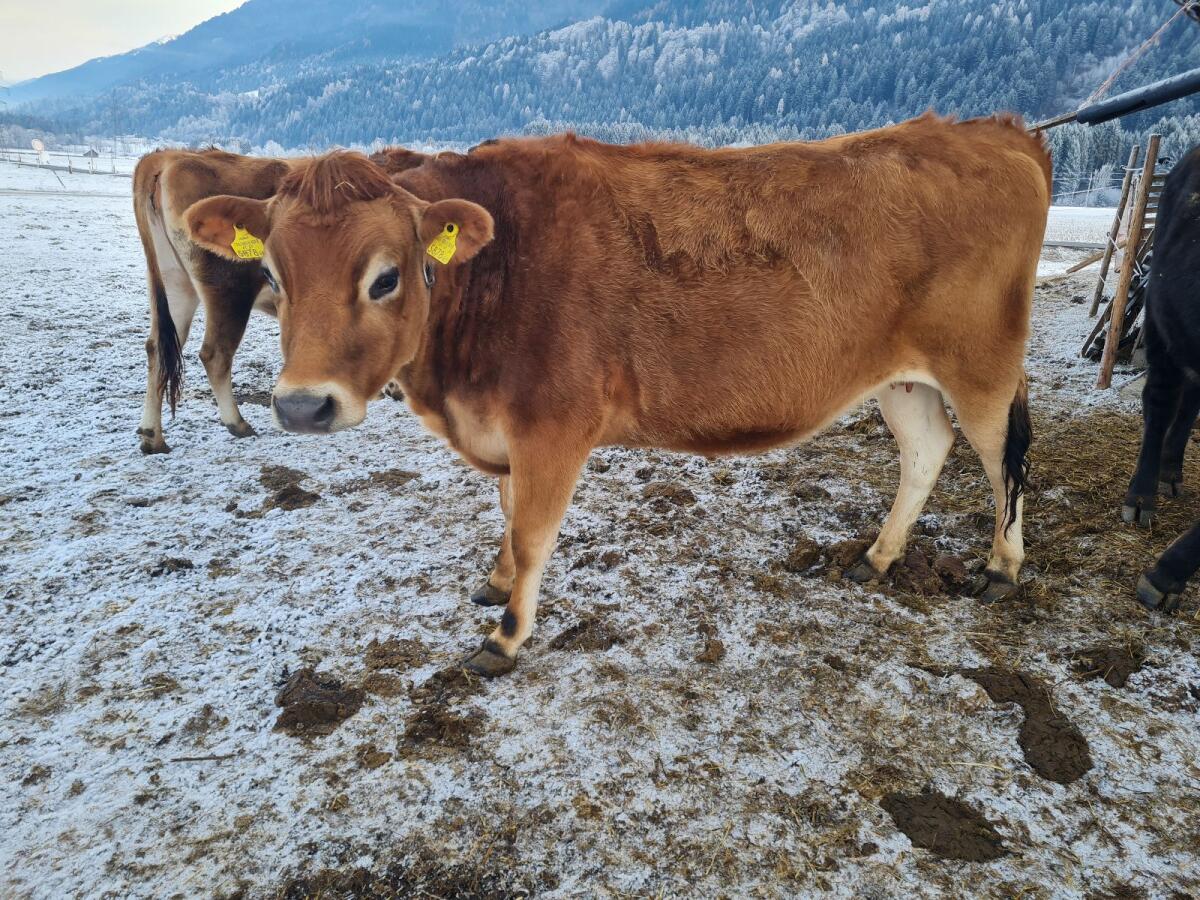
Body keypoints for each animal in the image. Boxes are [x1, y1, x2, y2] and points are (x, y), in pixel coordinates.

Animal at [132, 146, 427, 454]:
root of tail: (169, 156)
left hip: (175, 284)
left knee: (158, 348)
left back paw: (152, 435)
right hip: (228, 292)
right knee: (215, 354)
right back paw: (237, 423)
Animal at [182, 113, 1050, 676]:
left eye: (386, 277)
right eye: (273, 272)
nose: (301, 406)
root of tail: (995, 130)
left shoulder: (553, 427)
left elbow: (534, 532)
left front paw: (505, 639)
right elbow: (507, 518)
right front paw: (495, 582)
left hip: (981, 363)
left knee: (1000, 457)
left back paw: (1003, 567)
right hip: (900, 374)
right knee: (927, 451)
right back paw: (877, 556)